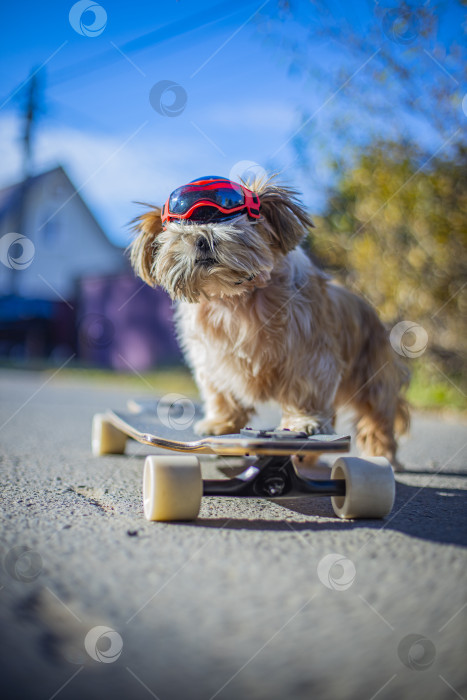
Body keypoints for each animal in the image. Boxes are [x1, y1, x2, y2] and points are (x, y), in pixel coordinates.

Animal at [130, 176, 412, 470]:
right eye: (183, 226)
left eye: (231, 219)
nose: (203, 238)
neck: (236, 299)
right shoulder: (212, 360)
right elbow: (221, 394)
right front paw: (221, 423)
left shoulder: (309, 357)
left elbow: (306, 390)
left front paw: (303, 422)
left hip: (373, 379)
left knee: (376, 419)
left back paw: (382, 456)